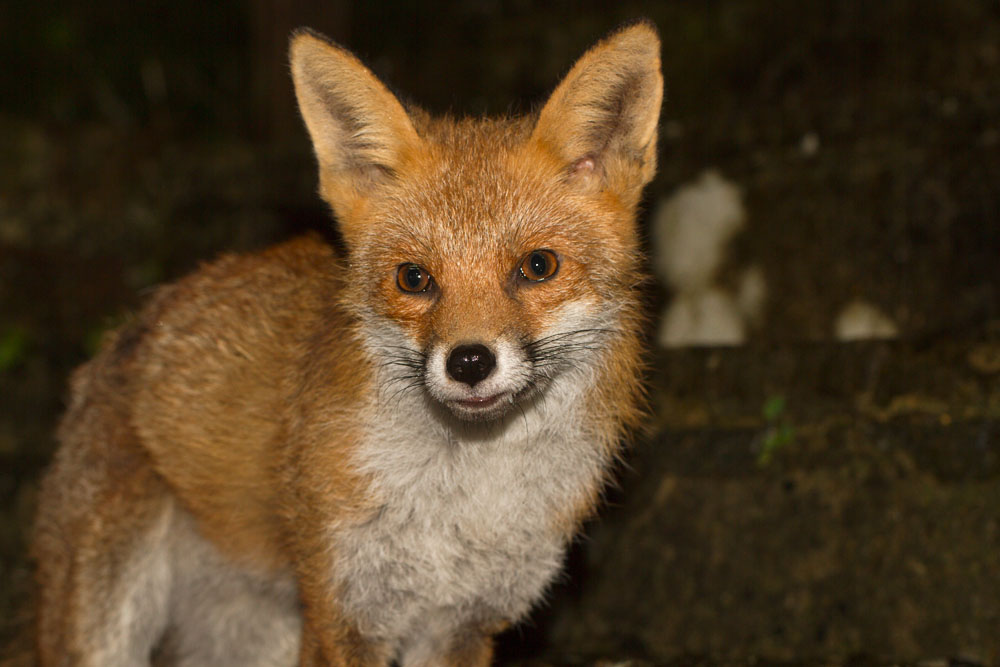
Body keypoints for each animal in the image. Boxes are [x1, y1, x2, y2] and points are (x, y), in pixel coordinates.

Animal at [29, 20, 663, 667]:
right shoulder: (342, 612)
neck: (462, 504)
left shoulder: (464, 624)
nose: (468, 362)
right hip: (106, 620)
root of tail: (131, 328)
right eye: (413, 278)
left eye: (539, 266)